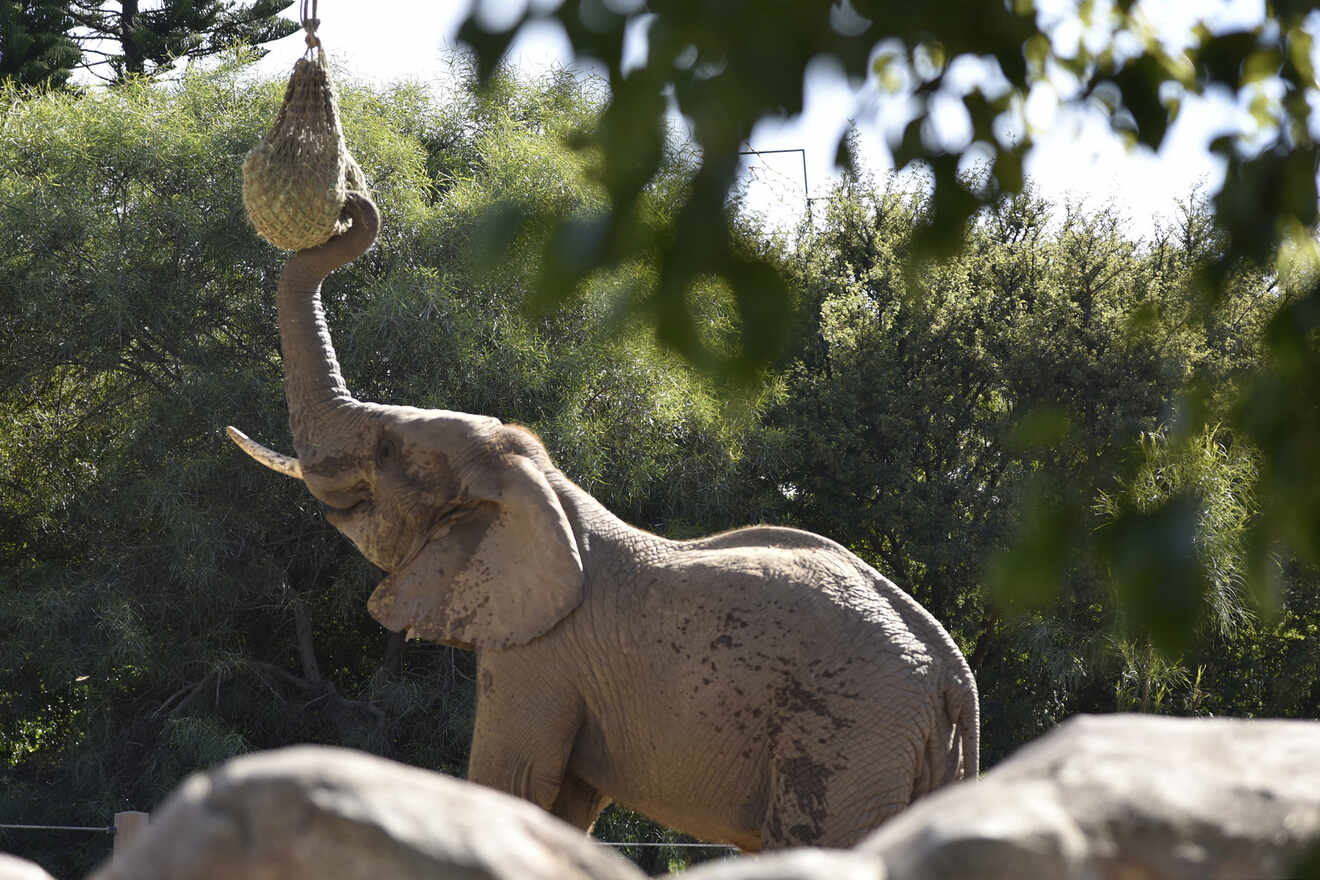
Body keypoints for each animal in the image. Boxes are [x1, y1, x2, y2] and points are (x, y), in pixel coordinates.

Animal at [227, 193, 976, 854]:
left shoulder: (540, 653)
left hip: (847, 739)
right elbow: (563, 807)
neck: (538, 488)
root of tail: (953, 675)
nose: (348, 202)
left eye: (385, 451)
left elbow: (511, 782)